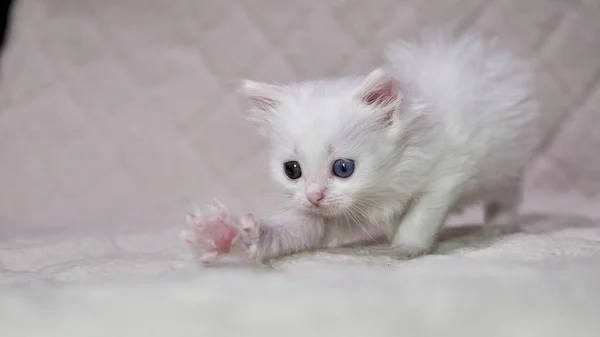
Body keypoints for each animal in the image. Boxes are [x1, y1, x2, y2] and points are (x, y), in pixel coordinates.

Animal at [180, 30, 536, 262]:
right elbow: (292, 229)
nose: (314, 196)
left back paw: (500, 224)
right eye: (292, 170)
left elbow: (421, 213)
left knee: (508, 194)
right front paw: (224, 234)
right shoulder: (318, 216)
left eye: (343, 168)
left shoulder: (449, 171)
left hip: (504, 162)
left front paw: (404, 247)